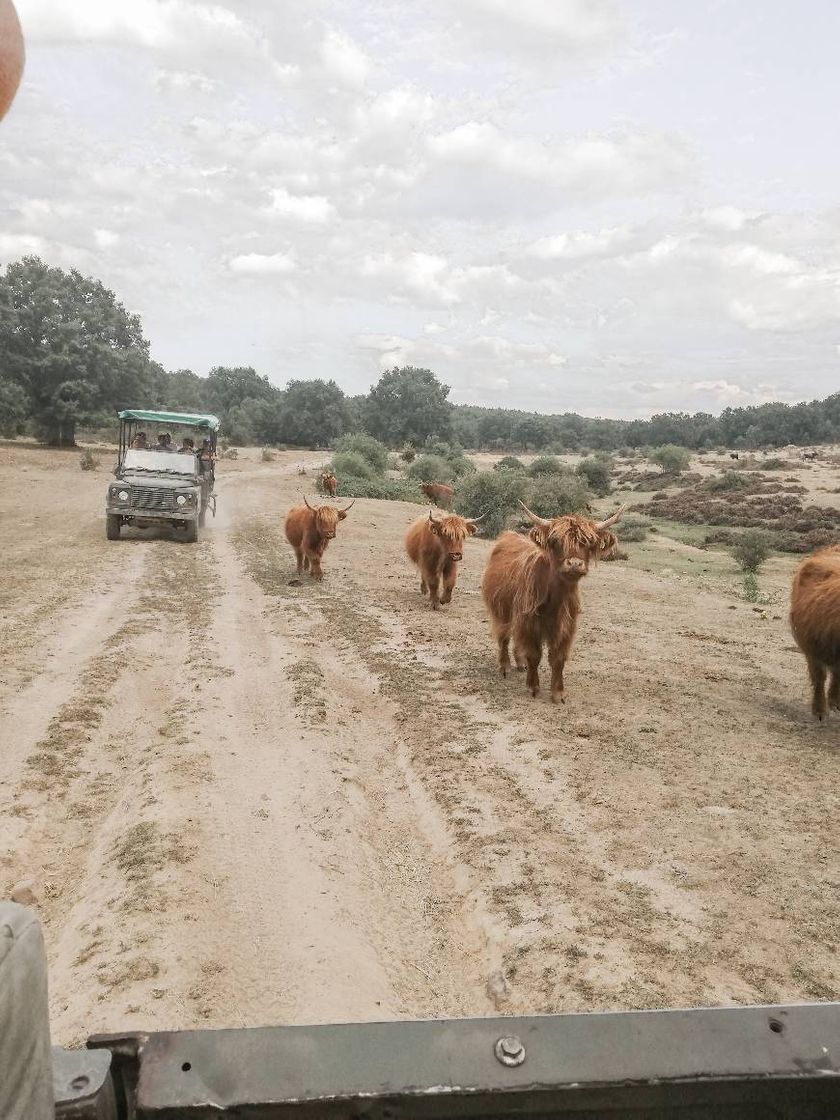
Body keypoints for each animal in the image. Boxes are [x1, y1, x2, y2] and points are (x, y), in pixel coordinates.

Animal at [479, 501, 627, 698]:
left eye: (588, 542)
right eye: (556, 542)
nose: (574, 564)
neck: (556, 599)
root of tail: (509, 534)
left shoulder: (566, 627)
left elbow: (558, 659)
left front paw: (558, 692)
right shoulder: (530, 623)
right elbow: (534, 655)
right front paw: (533, 686)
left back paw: (520, 664)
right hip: (501, 610)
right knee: (504, 636)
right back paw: (505, 666)